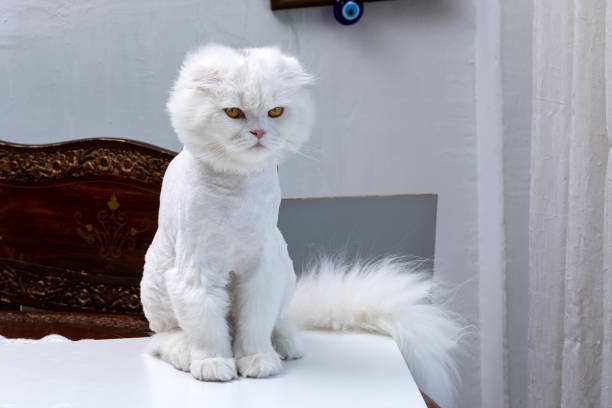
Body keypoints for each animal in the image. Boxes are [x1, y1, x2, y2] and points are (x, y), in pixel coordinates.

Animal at [140, 43, 464, 406]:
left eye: (275, 112)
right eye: (234, 112)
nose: (259, 132)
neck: (237, 194)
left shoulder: (260, 273)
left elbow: (254, 327)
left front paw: (257, 361)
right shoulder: (197, 274)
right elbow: (207, 330)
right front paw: (215, 364)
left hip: (283, 269)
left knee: (272, 323)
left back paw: (284, 346)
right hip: (158, 284)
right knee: (163, 337)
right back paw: (187, 354)